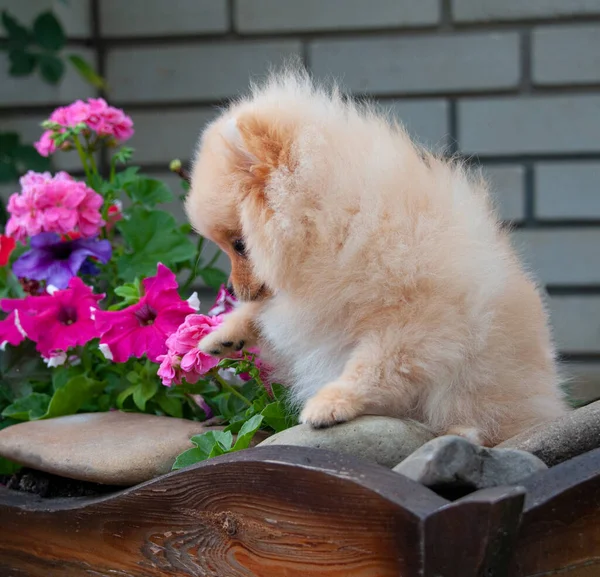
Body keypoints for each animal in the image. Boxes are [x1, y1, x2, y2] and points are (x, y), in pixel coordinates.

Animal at [186, 67, 568, 446]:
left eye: (240, 245)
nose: (233, 290)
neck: (339, 222)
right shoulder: (308, 306)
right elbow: (265, 314)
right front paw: (223, 334)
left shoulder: (414, 319)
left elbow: (377, 366)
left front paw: (331, 402)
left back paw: (461, 433)